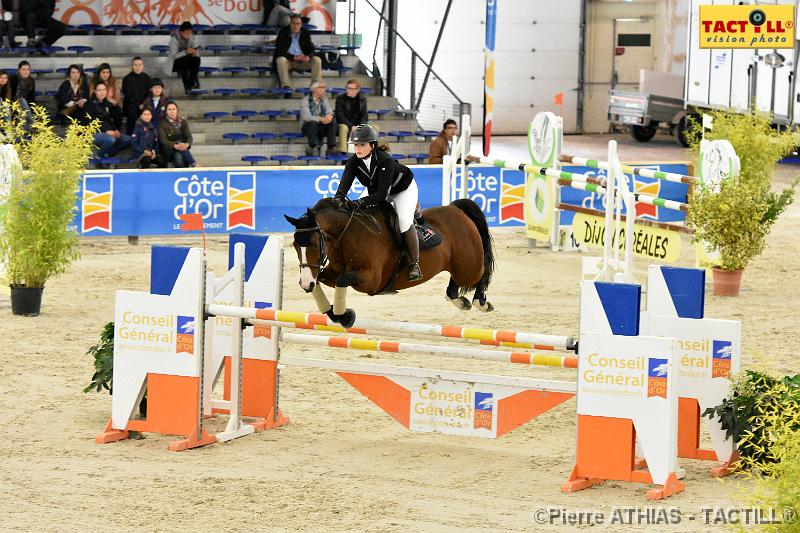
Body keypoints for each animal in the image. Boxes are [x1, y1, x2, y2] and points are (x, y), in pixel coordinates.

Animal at [282, 197, 494, 326]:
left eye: (314, 245)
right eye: (294, 245)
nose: (304, 284)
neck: (347, 235)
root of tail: (456, 209)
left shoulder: (371, 281)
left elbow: (343, 280)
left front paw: (345, 316)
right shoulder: (331, 273)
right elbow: (320, 280)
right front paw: (335, 313)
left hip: (468, 266)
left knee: (481, 272)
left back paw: (481, 302)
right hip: (459, 267)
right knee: (454, 286)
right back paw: (461, 302)